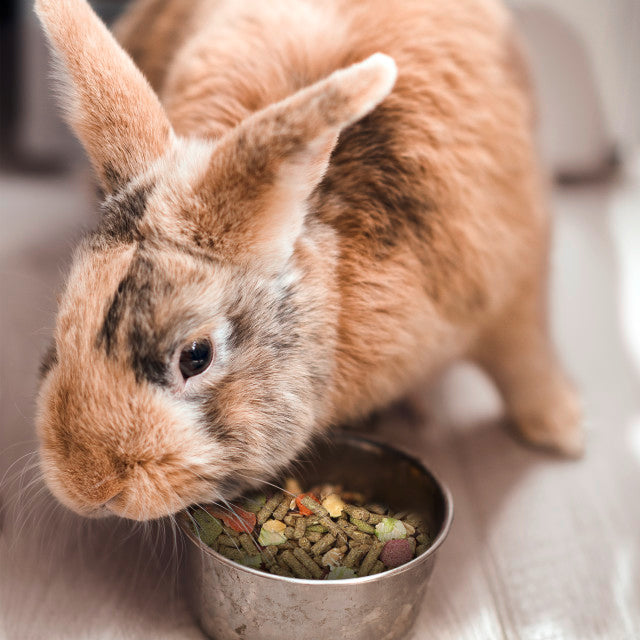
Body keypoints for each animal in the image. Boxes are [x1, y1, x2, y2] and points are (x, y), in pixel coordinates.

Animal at [34, 0, 582, 521]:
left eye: (195, 356)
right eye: (64, 321)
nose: (88, 486)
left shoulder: (514, 289)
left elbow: (525, 360)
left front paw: (563, 432)